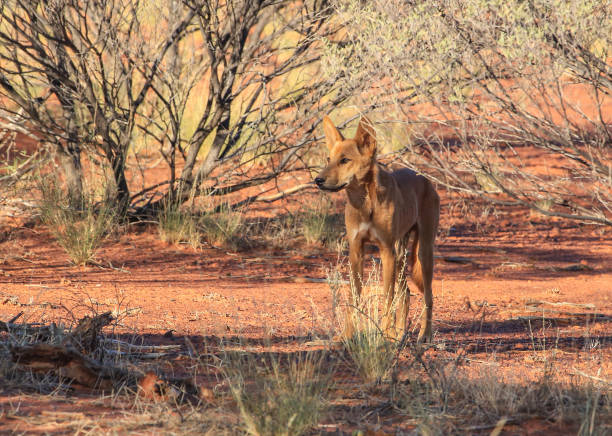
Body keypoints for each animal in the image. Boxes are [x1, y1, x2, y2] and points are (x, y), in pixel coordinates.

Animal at [316, 116, 440, 344]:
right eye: (328, 159)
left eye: (344, 160)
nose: (318, 180)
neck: (365, 204)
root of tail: (424, 178)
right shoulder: (356, 250)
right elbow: (354, 296)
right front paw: (347, 335)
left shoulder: (385, 251)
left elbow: (387, 297)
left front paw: (385, 334)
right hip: (400, 255)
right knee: (406, 294)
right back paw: (399, 334)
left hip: (422, 253)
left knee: (428, 295)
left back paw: (424, 335)